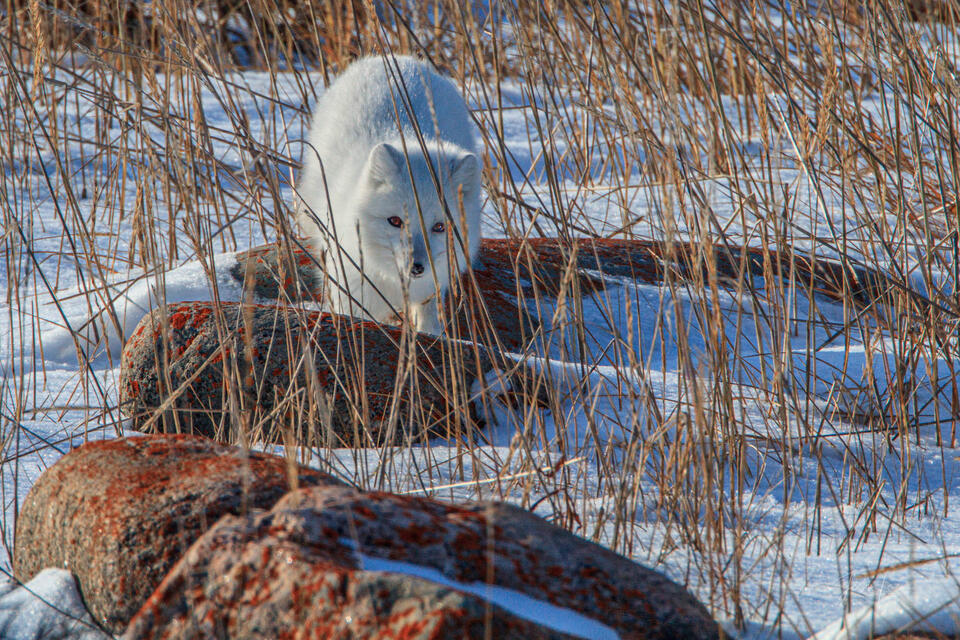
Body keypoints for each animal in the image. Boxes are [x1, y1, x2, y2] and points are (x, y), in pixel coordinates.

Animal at [296, 55, 482, 335]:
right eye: (395, 221)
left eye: (440, 227)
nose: (417, 267)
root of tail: (400, 59)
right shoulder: (351, 287)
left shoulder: (432, 287)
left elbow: (428, 317)